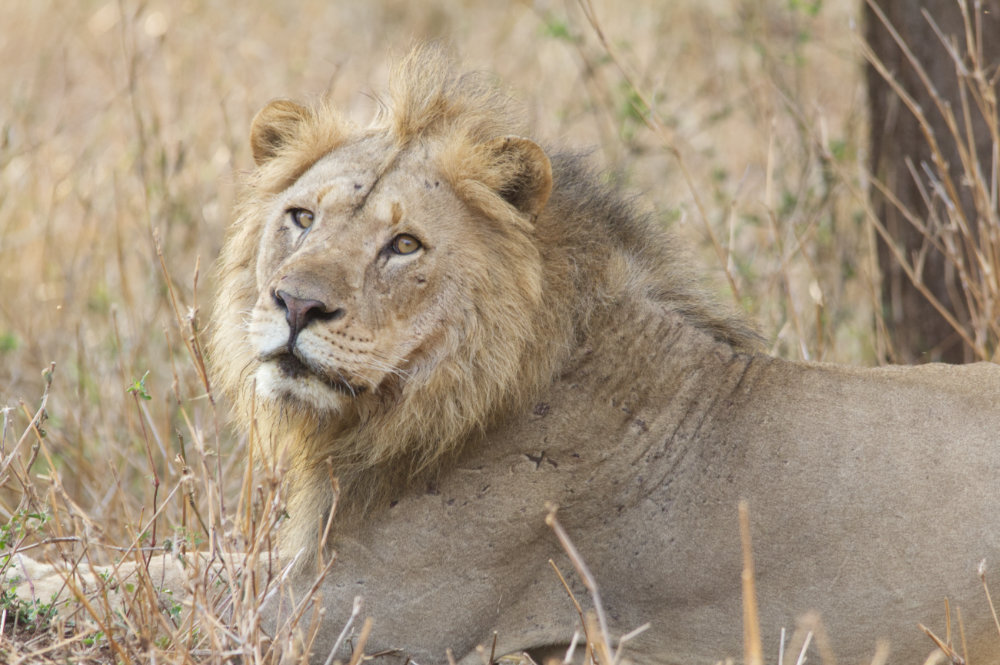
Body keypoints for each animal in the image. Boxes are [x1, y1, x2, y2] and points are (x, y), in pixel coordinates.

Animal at [8, 45, 1000, 664]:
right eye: (302, 215)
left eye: (403, 245)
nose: (295, 304)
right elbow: (183, 558)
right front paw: (34, 567)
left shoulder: (352, 616)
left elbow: (191, 590)